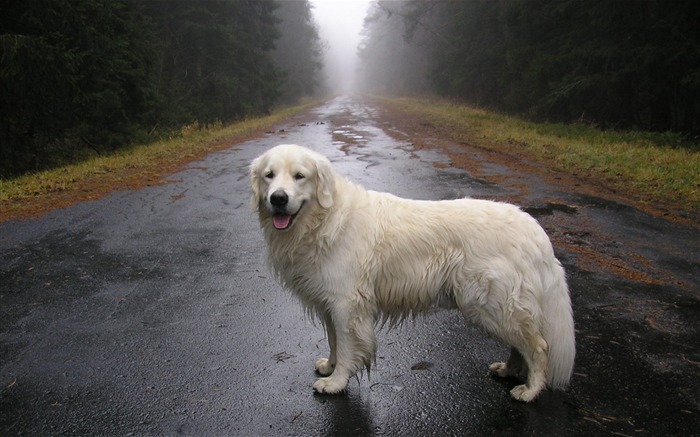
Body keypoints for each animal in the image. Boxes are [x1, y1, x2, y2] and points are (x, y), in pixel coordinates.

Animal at [250, 144, 576, 402]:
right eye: (269, 175)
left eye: (299, 176)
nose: (278, 198)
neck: (323, 221)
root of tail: (534, 230)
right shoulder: (330, 303)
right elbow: (334, 342)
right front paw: (329, 366)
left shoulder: (346, 305)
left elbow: (347, 348)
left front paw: (335, 382)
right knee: (521, 345)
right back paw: (509, 370)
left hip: (490, 304)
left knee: (538, 347)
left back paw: (530, 390)